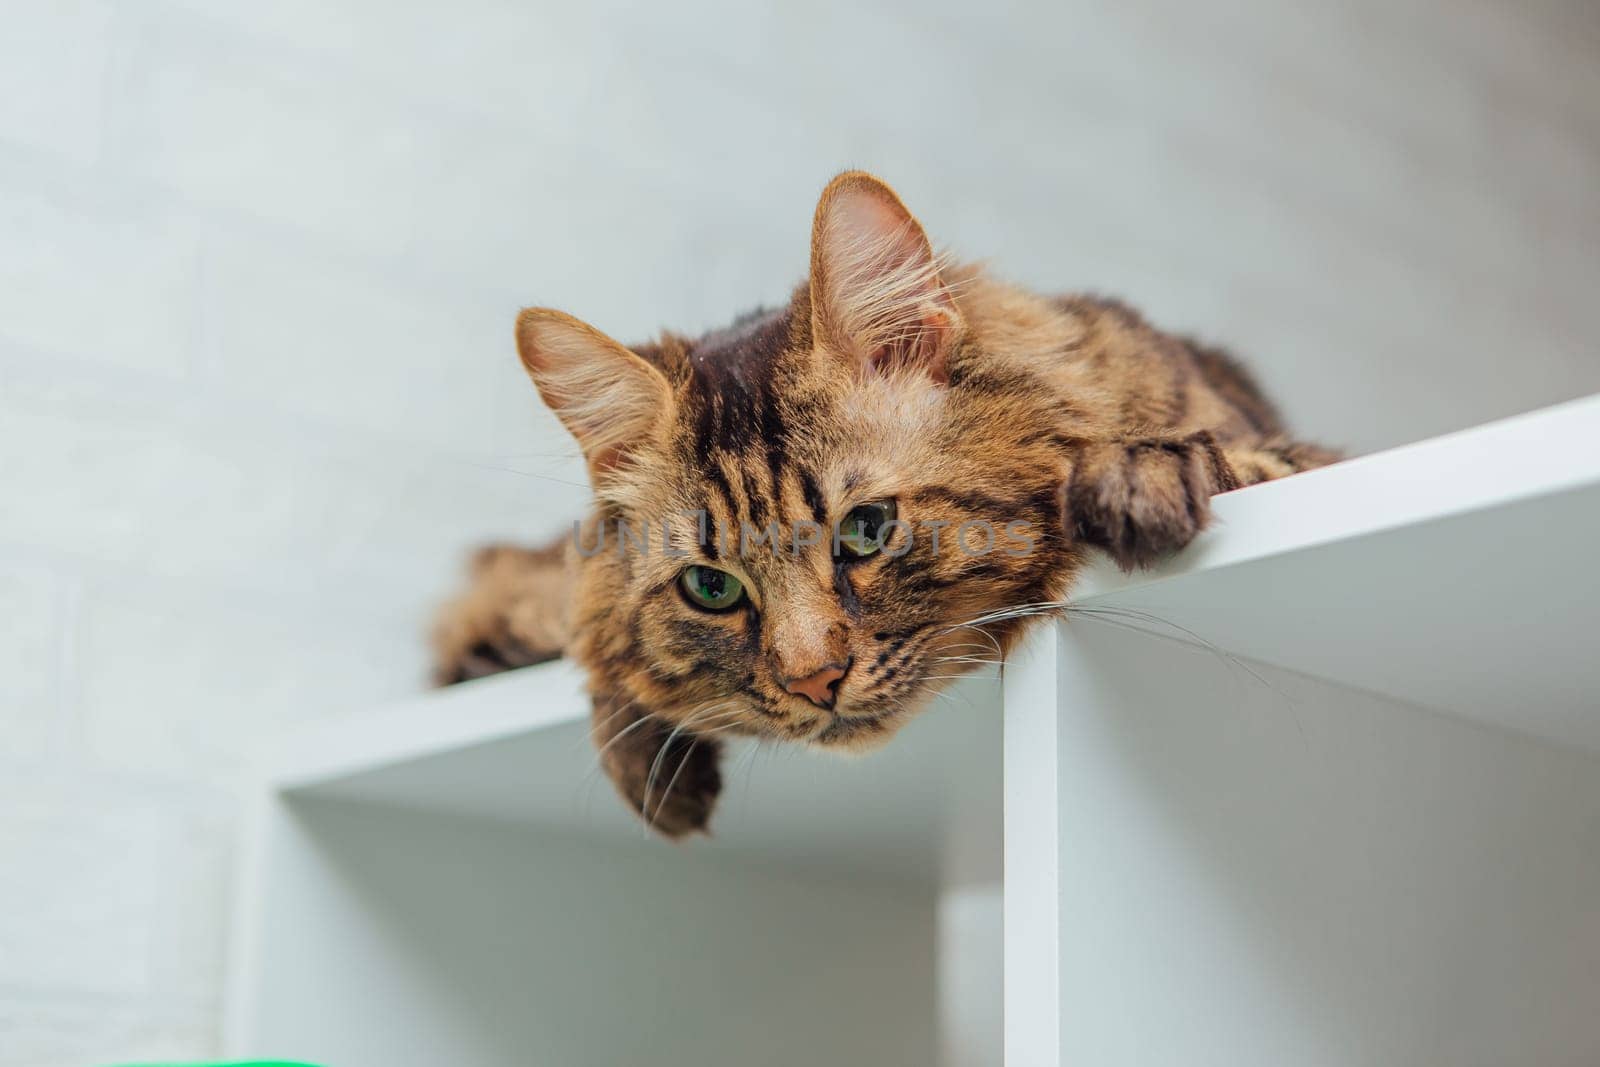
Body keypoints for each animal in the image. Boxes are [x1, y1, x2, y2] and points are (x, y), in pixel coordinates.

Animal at [428, 175, 1337, 838]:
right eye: (711, 587)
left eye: (866, 530)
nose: (814, 679)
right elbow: (600, 640)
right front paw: (649, 761)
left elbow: (1238, 455)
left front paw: (1138, 471)